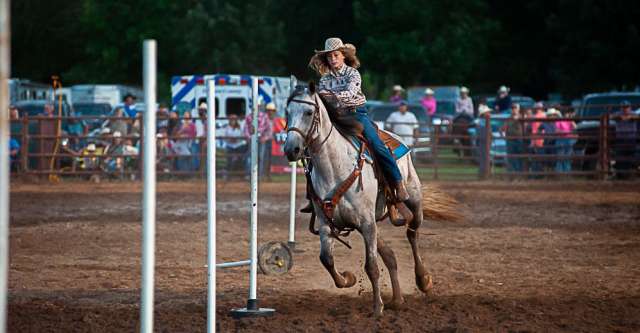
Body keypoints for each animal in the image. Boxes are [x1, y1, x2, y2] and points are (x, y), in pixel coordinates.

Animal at [284, 80, 436, 314]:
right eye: (287, 112)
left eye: (309, 112)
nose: (291, 149)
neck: (334, 168)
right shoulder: (327, 223)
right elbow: (326, 259)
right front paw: (348, 278)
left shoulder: (366, 222)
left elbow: (371, 266)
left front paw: (377, 307)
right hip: (372, 223)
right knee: (390, 255)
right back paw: (397, 300)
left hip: (412, 199)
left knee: (413, 232)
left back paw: (423, 280)